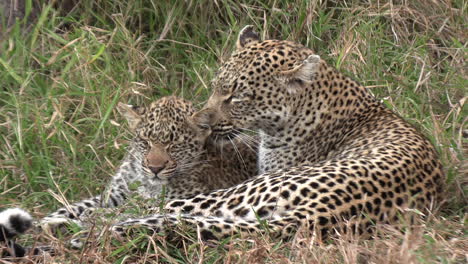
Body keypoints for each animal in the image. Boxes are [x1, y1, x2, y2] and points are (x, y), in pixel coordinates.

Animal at [111, 25, 444, 240]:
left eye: (237, 97)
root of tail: (325, 212)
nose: (204, 122)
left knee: (154, 206)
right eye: (216, 86)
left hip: (240, 192)